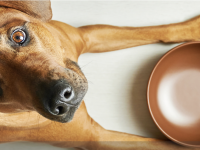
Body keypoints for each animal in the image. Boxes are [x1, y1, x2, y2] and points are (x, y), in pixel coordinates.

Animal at [0, 0, 200, 149]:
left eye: (18, 36)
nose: (59, 99)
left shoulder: (86, 35)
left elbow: (155, 31)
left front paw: (193, 28)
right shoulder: (97, 138)